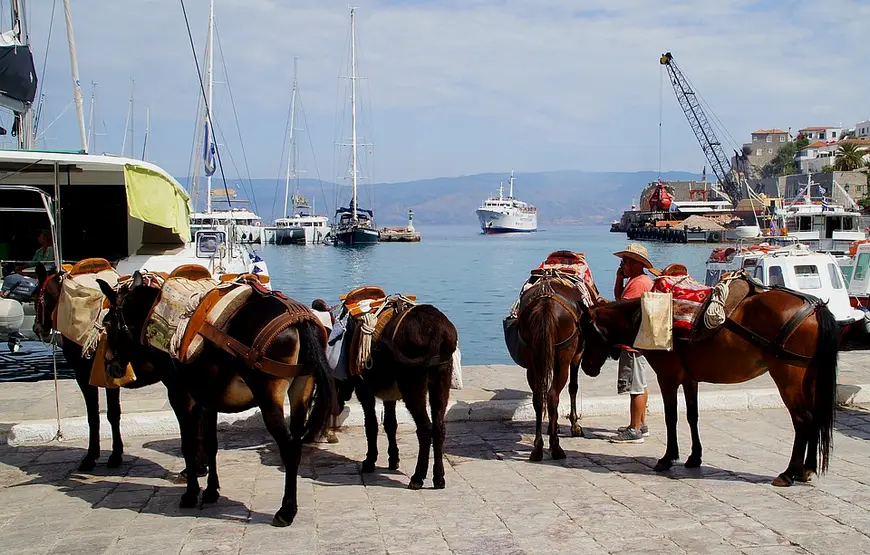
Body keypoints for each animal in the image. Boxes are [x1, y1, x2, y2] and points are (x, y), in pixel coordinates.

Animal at [31, 263, 208, 476]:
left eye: (35, 295)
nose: (36, 328)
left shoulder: (83, 376)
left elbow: (95, 416)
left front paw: (92, 457)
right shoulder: (109, 377)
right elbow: (113, 414)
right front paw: (116, 454)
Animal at [97, 271, 335, 526]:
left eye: (108, 323)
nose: (110, 366)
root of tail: (299, 319)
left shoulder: (179, 395)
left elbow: (189, 445)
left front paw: (191, 494)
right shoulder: (207, 400)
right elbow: (211, 444)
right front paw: (211, 492)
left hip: (269, 398)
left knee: (289, 448)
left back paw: (286, 511)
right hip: (301, 392)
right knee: (297, 445)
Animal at [335, 292, 457, 490]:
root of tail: (437, 330)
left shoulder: (364, 391)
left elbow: (372, 425)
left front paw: (370, 461)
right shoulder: (389, 395)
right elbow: (390, 424)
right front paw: (393, 459)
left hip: (413, 386)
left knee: (425, 429)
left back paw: (418, 477)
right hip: (441, 381)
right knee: (439, 428)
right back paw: (438, 478)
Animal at [514, 273, 599, 461]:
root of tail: (546, 301)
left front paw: (554, 425)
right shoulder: (577, 356)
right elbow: (573, 387)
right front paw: (574, 426)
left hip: (532, 358)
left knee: (539, 397)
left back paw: (537, 448)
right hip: (563, 358)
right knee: (553, 395)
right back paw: (555, 447)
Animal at [578, 278, 839, 486]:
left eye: (587, 332)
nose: (586, 367)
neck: (647, 316)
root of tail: (816, 309)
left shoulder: (667, 378)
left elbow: (671, 417)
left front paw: (667, 458)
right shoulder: (689, 379)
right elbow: (692, 416)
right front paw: (694, 457)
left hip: (787, 378)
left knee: (803, 420)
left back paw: (789, 473)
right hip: (810, 378)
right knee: (815, 418)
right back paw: (806, 469)